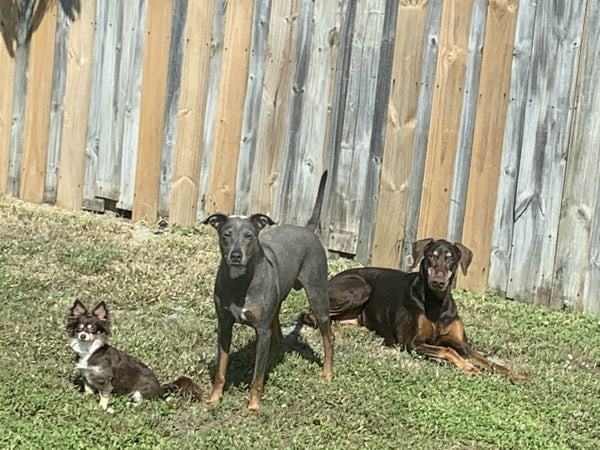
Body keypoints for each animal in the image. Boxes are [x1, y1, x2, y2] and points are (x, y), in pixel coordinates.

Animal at [67, 300, 200, 410]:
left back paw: (130, 404)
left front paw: (101, 408)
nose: (83, 335)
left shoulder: (106, 381)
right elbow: (88, 391)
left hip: (139, 392)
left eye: (93, 329)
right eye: (79, 328)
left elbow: (104, 395)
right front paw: (84, 400)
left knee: (146, 402)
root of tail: (160, 389)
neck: (89, 350)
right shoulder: (87, 377)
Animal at [202, 172, 332, 412]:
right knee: (277, 336)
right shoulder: (224, 324)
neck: (241, 282)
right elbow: (221, 368)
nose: (236, 255)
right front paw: (214, 399)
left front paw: (253, 406)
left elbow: (257, 376)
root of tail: (307, 229)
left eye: (249, 235)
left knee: (328, 337)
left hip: (318, 297)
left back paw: (327, 373)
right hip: (278, 305)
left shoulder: (261, 329)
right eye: (226, 234)